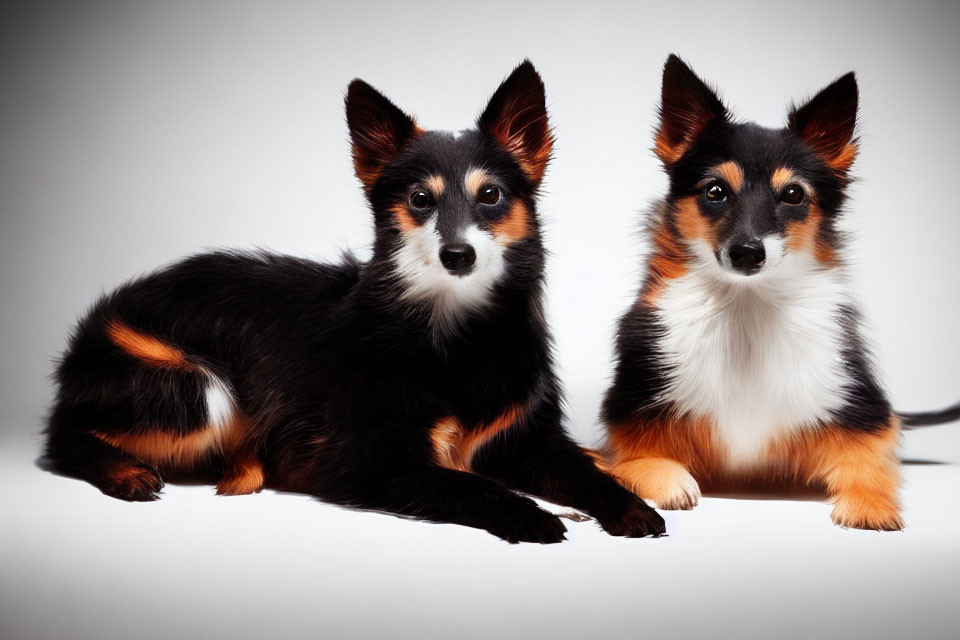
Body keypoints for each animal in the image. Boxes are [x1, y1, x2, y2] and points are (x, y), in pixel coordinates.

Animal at [41, 60, 664, 544]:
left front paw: (630, 508)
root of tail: (104, 312)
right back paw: (125, 474)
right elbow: (468, 483)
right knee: (61, 433)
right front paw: (530, 515)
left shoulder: (534, 439)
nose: (458, 254)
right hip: (198, 389)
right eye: (420, 199)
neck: (453, 328)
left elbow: (589, 474)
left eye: (490, 195)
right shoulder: (368, 462)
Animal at [600, 53, 960, 528]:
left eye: (793, 194)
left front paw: (870, 506)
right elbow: (632, 460)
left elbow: (870, 461)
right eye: (715, 190)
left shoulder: (864, 410)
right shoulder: (628, 410)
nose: (747, 253)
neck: (747, 307)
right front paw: (667, 480)